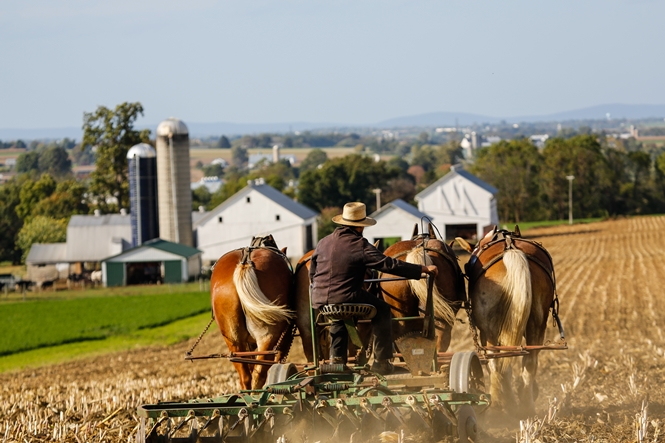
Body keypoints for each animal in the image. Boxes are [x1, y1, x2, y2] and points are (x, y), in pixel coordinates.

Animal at [456, 227, 556, 418]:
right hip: (537, 321)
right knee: (529, 362)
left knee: (496, 361)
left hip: (489, 328)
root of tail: (512, 250)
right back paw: (525, 406)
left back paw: (500, 404)